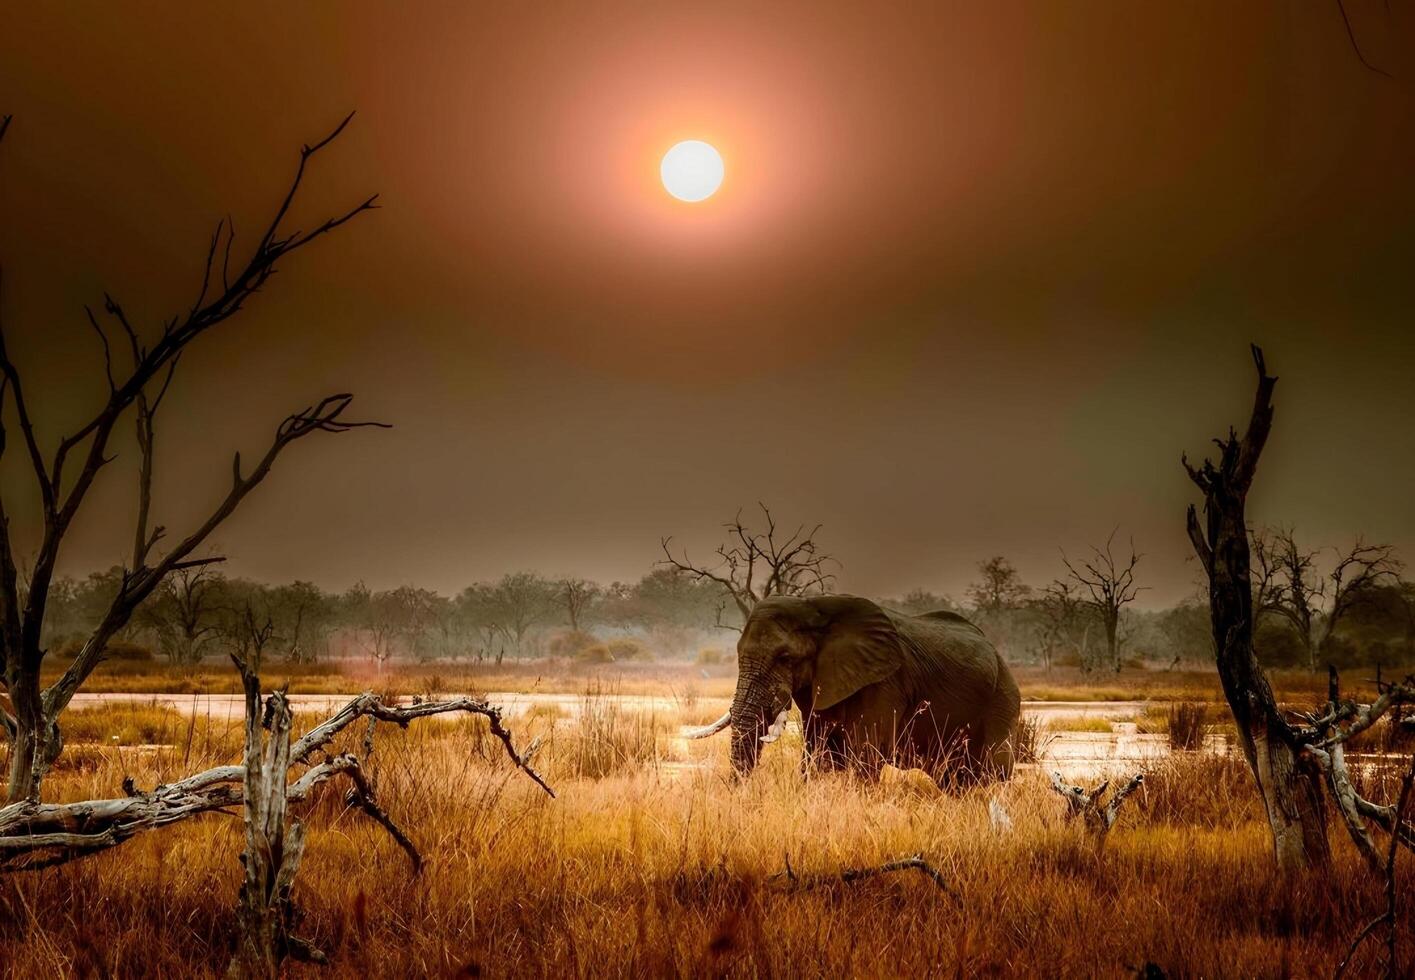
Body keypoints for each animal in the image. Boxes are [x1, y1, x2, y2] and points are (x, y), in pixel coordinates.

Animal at [684, 591, 1018, 786]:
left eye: (785, 658)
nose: (738, 790)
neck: (814, 608)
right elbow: (819, 753)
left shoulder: (884, 682)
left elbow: (867, 752)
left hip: (1002, 700)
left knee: (989, 770)